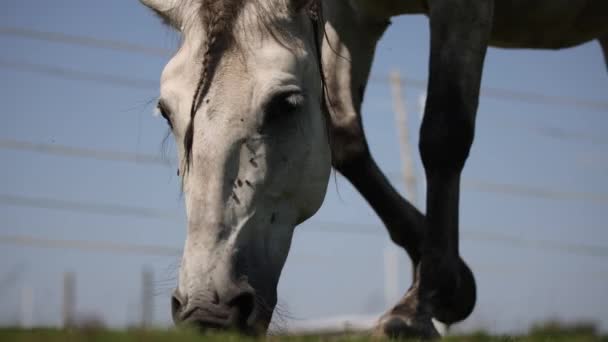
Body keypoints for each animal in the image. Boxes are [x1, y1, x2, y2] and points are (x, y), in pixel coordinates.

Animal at [140, 0, 604, 338]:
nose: (207, 312)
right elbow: (344, 135)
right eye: (165, 111)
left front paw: (420, 305)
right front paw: (451, 283)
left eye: (285, 103)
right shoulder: (352, 17)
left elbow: (443, 133)